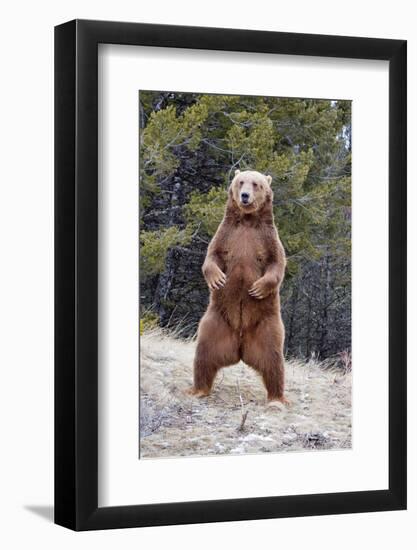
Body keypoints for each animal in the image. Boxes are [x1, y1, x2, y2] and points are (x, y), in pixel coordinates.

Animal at [190, 170, 288, 408]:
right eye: (240, 181)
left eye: (256, 184)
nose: (244, 196)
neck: (247, 221)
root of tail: (240, 349)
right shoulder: (226, 234)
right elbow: (212, 256)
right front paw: (218, 279)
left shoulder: (268, 239)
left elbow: (276, 264)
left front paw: (258, 288)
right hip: (215, 322)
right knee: (204, 354)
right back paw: (199, 390)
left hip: (266, 325)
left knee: (273, 362)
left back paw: (276, 400)